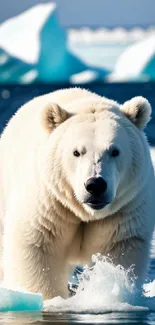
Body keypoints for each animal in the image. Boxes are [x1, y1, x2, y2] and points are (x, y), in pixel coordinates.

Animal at [0, 87, 154, 298]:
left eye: (114, 151)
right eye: (76, 152)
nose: (95, 185)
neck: (85, 211)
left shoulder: (124, 209)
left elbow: (118, 254)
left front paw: (109, 288)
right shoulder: (48, 203)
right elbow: (37, 248)